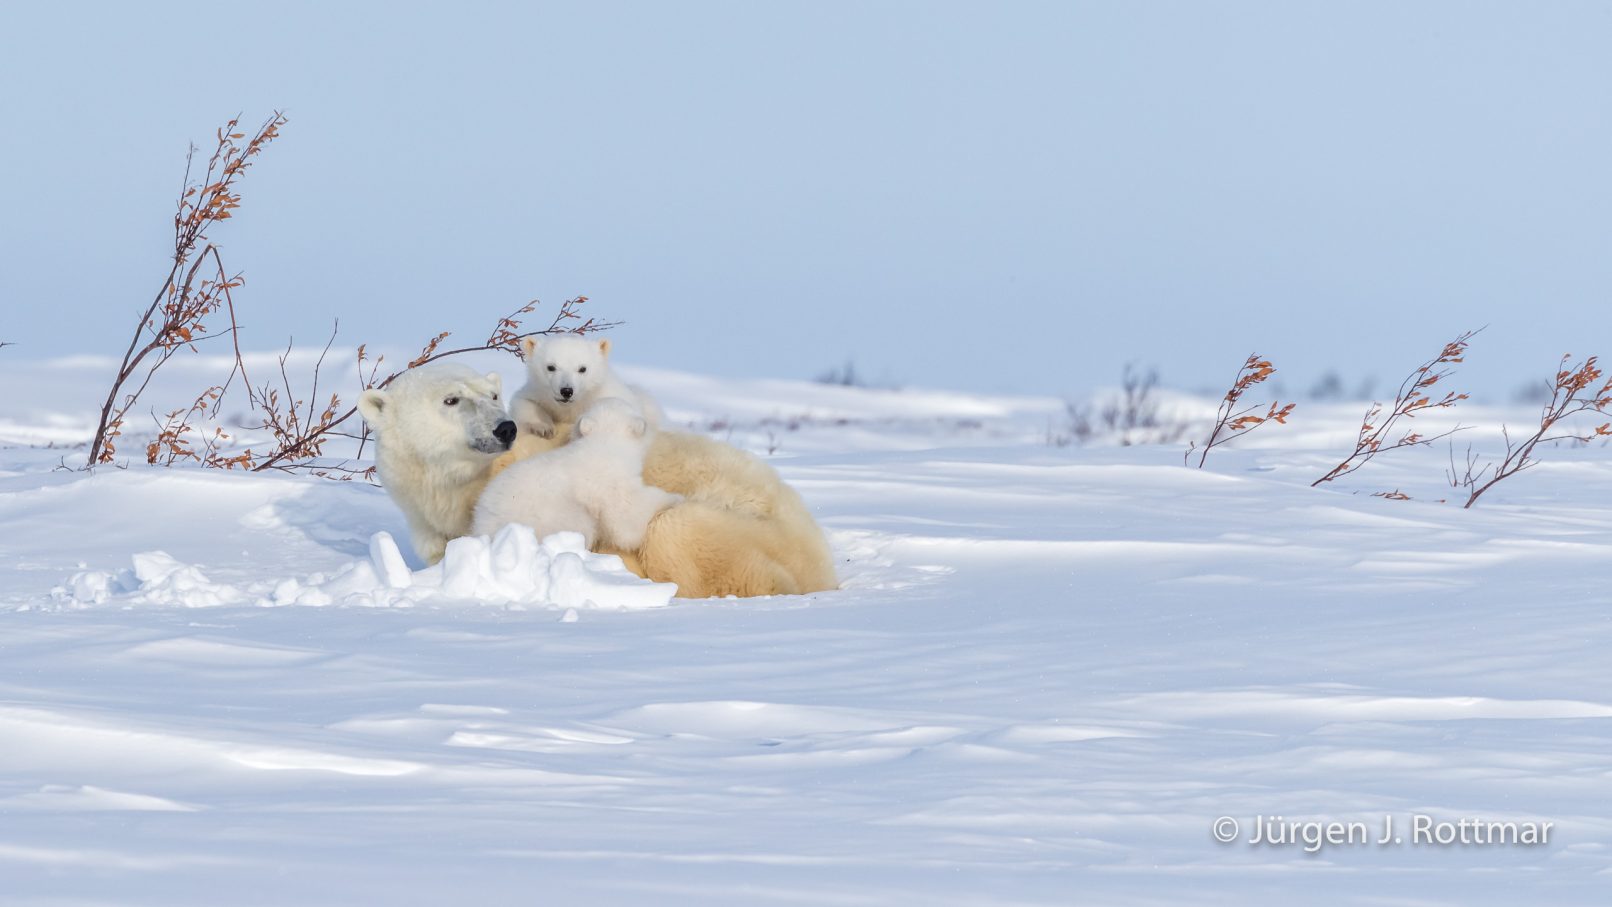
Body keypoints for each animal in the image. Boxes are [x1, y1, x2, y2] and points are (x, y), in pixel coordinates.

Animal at [510, 334, 663, 441]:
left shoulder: (608, 394)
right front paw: (544, 428)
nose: (566, 391)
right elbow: (524, 402)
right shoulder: (538, 391)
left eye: (582, 368)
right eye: (551, 367)